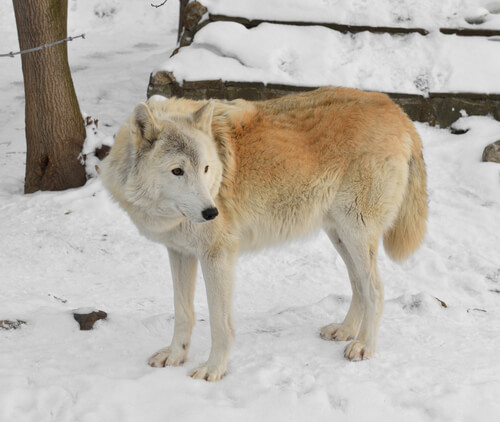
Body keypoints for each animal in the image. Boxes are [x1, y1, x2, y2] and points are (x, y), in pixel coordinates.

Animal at [99, 86, 428, 382]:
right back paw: (345, 331)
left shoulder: (217, 256)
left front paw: (213, 370)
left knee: (376, 289)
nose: (211, 213)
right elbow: (183, 312)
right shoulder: (180, 253)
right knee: (358, 284)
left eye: (205, 168)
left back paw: (364, 346)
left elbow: (219, 324)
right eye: (177, 171)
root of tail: (398, 111)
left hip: (355, 233)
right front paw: (175, 355)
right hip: (339, 235)